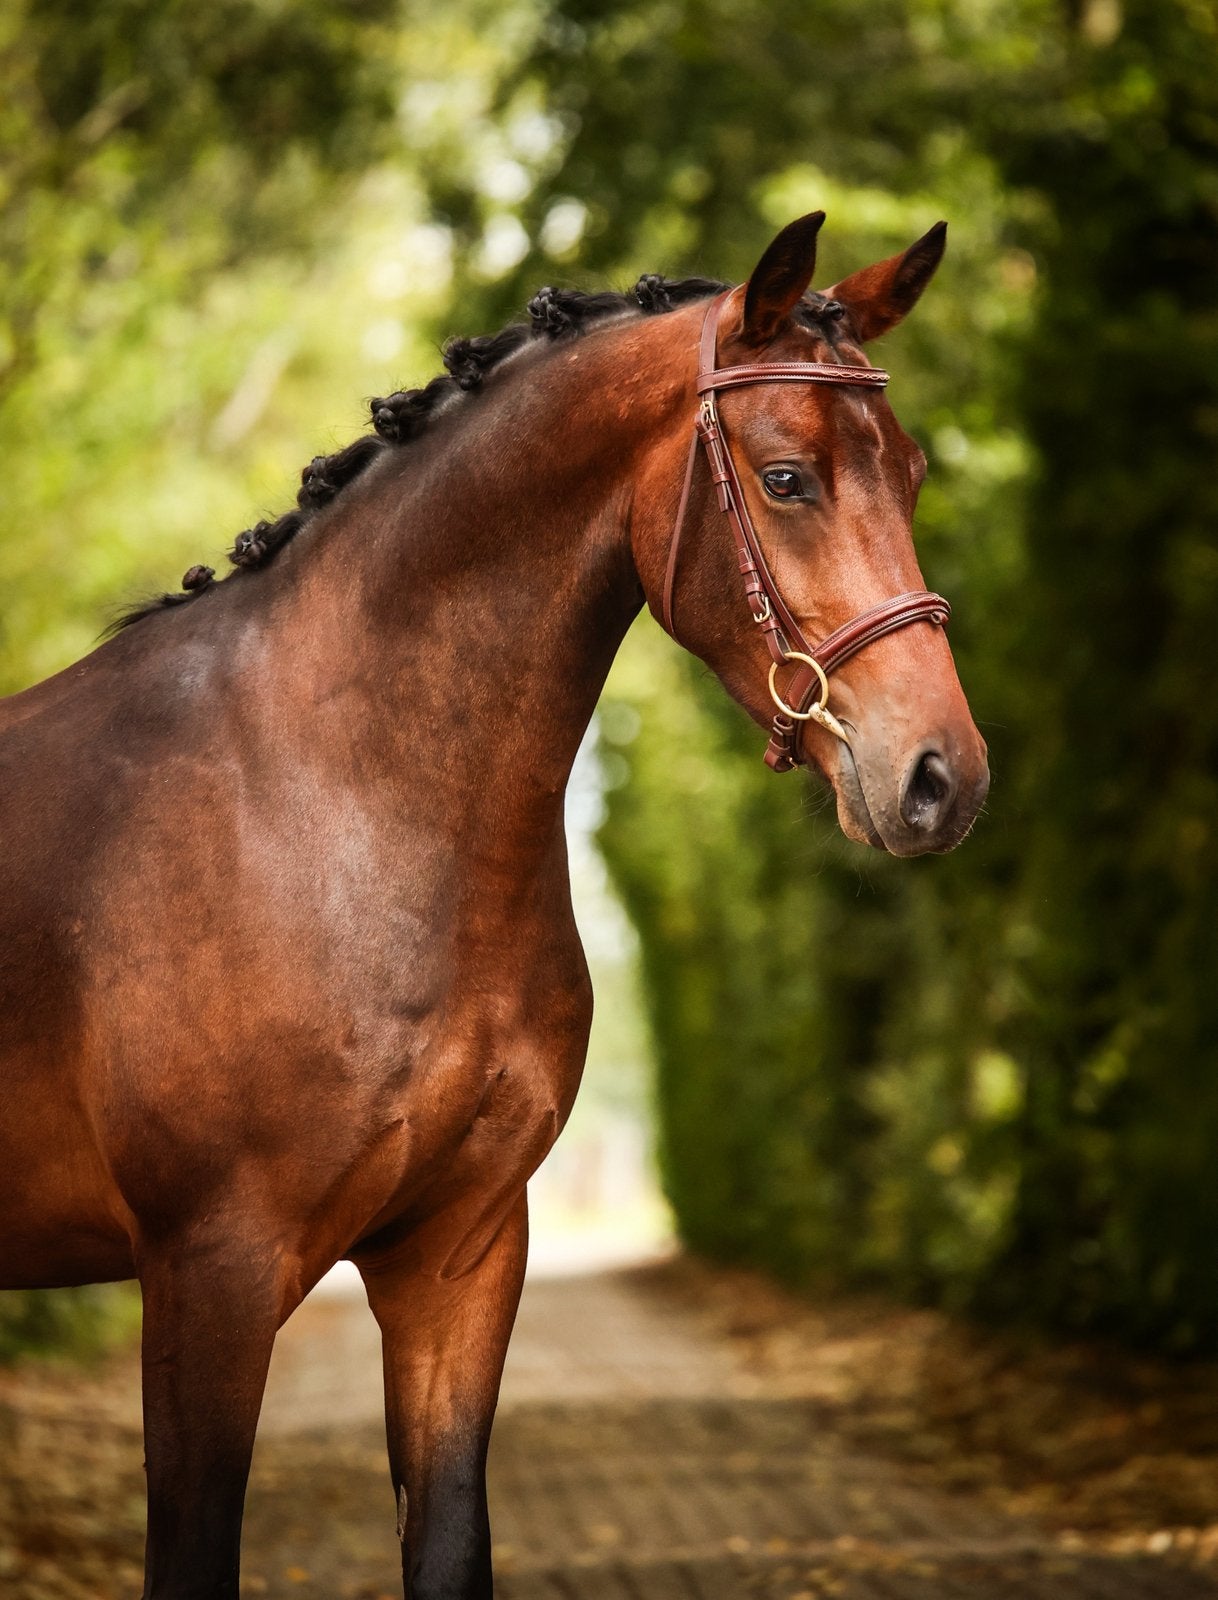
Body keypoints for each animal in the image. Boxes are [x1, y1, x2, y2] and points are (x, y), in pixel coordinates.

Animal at [0, 211, 989, 1600]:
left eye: (910, 472)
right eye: (789, 477)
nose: (941, 776)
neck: (333, 797)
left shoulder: (460, 1253)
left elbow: (451, 1540)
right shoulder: (209, 1271)